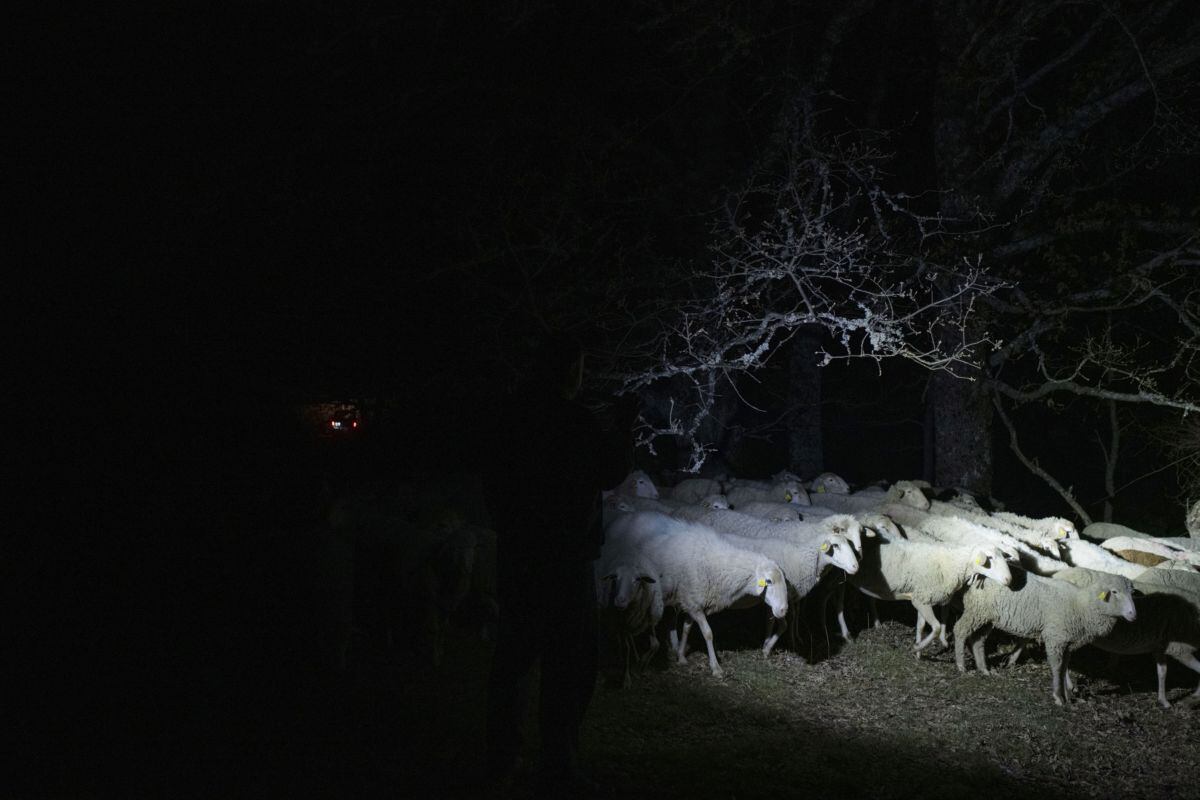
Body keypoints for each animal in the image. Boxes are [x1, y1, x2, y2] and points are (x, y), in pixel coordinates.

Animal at [833, 537, 1012, 653]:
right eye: (990, 558)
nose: (1009, 579)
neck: (953, 564)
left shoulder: (920, 597)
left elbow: (921, 625)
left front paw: (919, 651)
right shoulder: (922, 600)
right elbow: (937, 628)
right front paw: (918, 648)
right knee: (835, 603)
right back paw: (845, 633)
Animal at [953, 567, 1137, 706]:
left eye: (1132, 593)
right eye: (1114, 592)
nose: (1133, 614)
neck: (1082, 606)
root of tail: (978, 575)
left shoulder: (1067, 641)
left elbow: (1064, 667)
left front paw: (1067, 695)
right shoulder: (1055, 638)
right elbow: (1057, 667)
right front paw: (1058, 697)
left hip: (987, 617)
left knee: (978, 640)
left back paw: (984, 669)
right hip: (976, 610)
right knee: (959, 630)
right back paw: (961, 666)